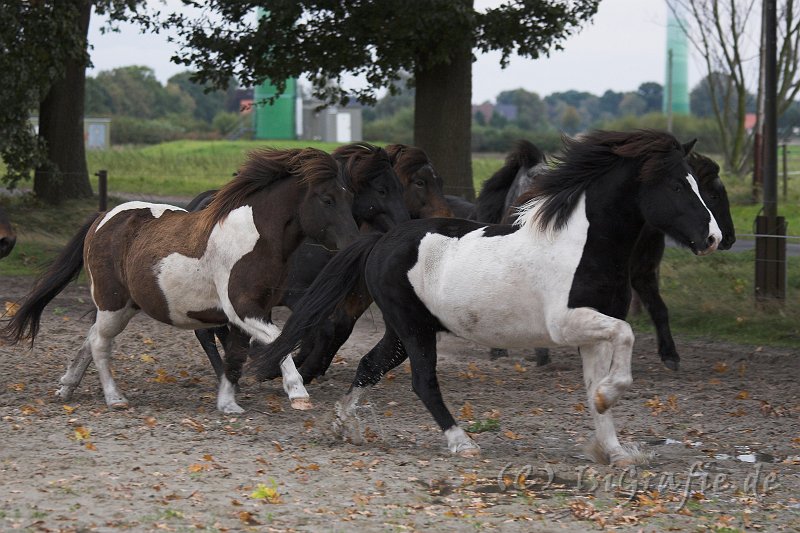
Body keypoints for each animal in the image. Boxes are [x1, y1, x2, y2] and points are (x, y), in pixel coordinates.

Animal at [2, 148, 360, 414]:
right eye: (327, 199)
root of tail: (103, 218)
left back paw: (67, 386)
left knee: (91, 337)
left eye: (349, 196)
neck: (255, 236)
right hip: (112, 302)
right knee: (101, 344)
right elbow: (278, 340)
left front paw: (228, 404)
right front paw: (297, 393)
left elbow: (236, 355)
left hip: (123, 306)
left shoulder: (253, 311)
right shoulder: (242, 309)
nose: (353, 244)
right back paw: (115, 398)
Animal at [253, 131, 720, 464]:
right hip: (413, 329)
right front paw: (613, 396)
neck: (583, 245)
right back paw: (462, 443)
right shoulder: (568, 323)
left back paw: (342, 425)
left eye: (697, 184)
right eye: (678, 187)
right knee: (423, 382)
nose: (713, 238)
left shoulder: (592, 332)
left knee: (370, 365)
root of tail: (382, 240)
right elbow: (625, 335)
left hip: (403, 332)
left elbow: (593, 390)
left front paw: (615, 451)